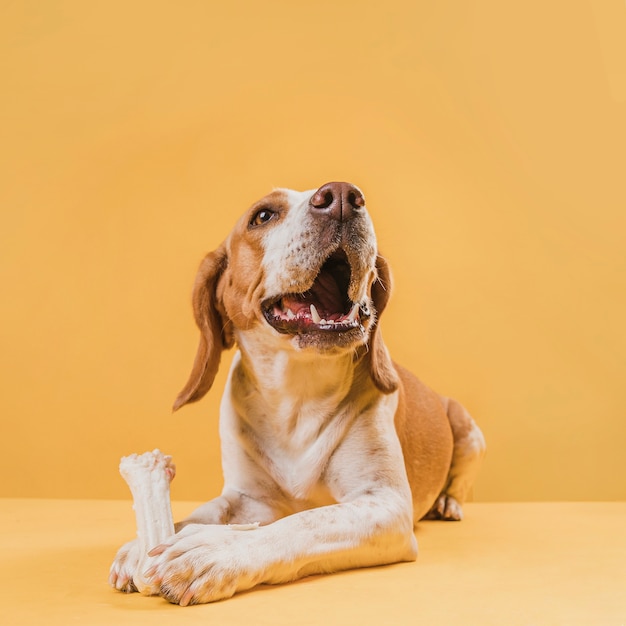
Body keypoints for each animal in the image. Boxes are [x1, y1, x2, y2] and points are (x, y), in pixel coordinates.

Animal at [109, 182, 486, 604]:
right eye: (263, 216)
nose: (343, 195)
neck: (297, 396)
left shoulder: (384, 504)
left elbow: (305, 521)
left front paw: (215, 550)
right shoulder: (247, 499)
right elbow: (202, 512)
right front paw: (143, 544)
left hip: (467, 428)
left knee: (459, 479)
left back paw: (448, 502)